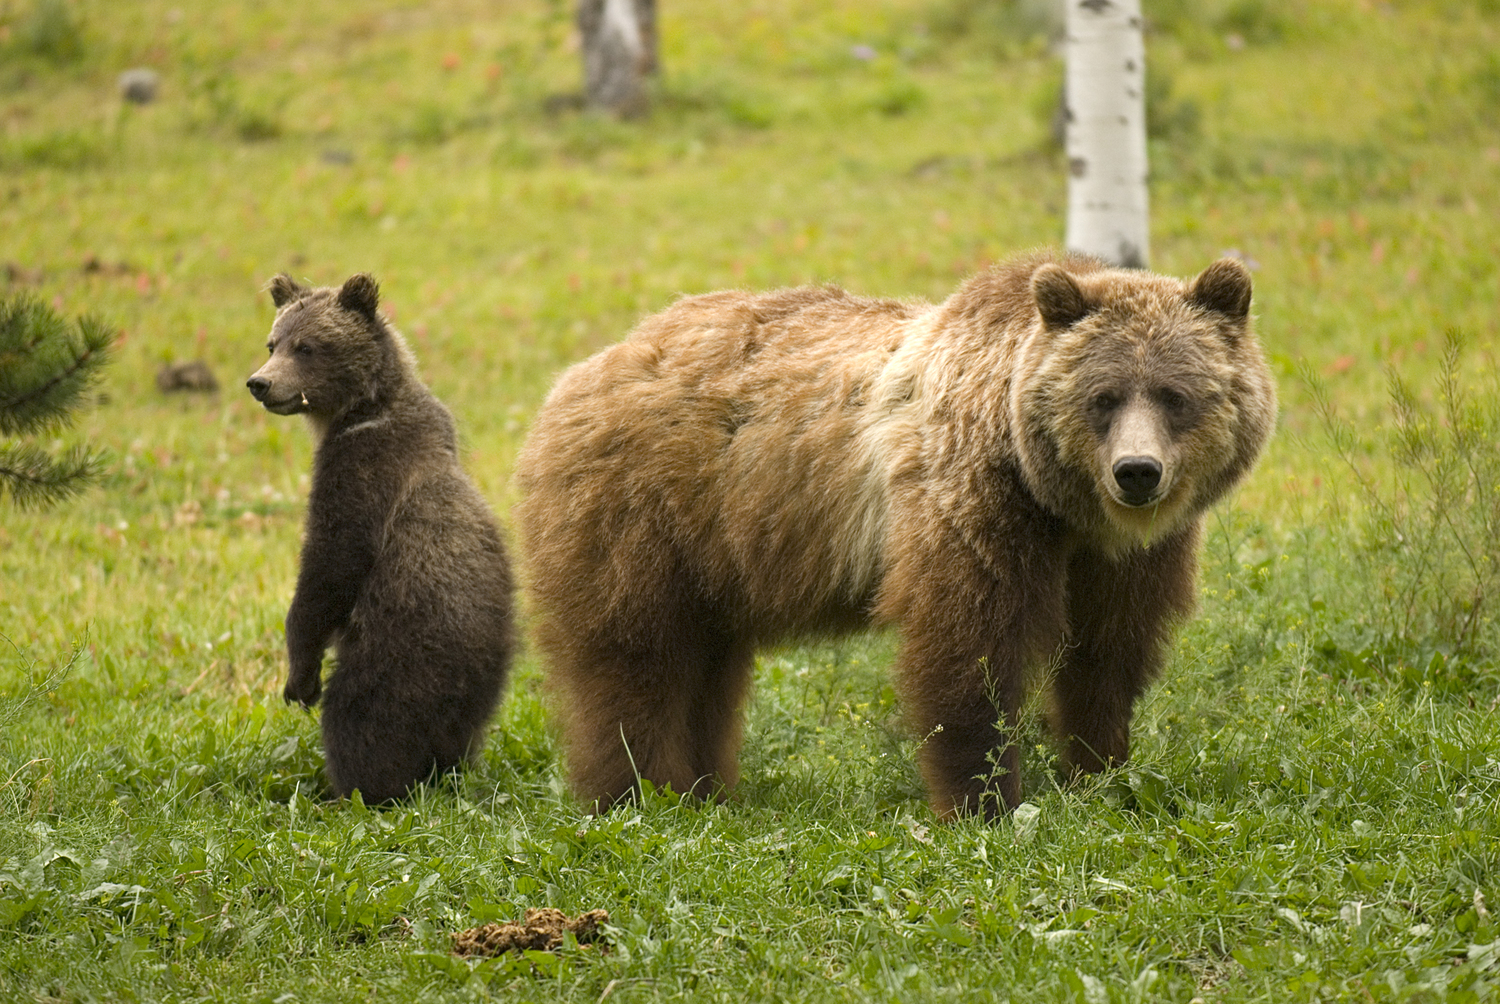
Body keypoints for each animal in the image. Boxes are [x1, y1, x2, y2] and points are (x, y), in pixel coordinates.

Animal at [246, 276, 516, 804]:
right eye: (272, 342)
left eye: (306, 346)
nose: (260, 383)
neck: (363, 407)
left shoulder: (359, 471)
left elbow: (330, 566)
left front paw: (299, 680)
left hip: (401, 650)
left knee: (360, 716)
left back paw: (357, 789)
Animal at [516, 249, 1278, 816]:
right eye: (1104, 397)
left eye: (1176, 395)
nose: (1137, 473)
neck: (1058, 503)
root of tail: (584, 370)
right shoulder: (972, 499)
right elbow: (968, 646)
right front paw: (983, 800)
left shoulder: (1128, 555)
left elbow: (1109, 651)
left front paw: (1100, 769)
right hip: (642, 511)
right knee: (635, 656)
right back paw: (638, 792)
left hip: (718, 551)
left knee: (709, 666)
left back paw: (706, 788)